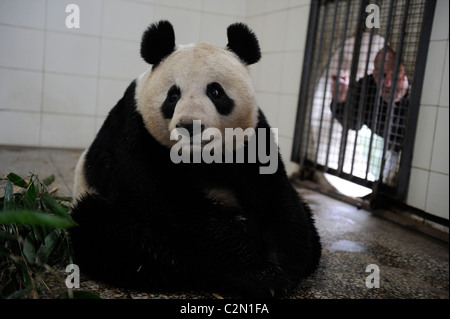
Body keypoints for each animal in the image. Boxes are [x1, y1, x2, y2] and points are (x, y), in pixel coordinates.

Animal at [68, 21, 322, 298]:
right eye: (173, 95)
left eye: (215, 91)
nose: (190, 126)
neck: (198, 157)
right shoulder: (134, 133)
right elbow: (170, 204)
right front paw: (260, 275)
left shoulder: (253, 138)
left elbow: (273, 195)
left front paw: (283, 266)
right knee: (106, 231)